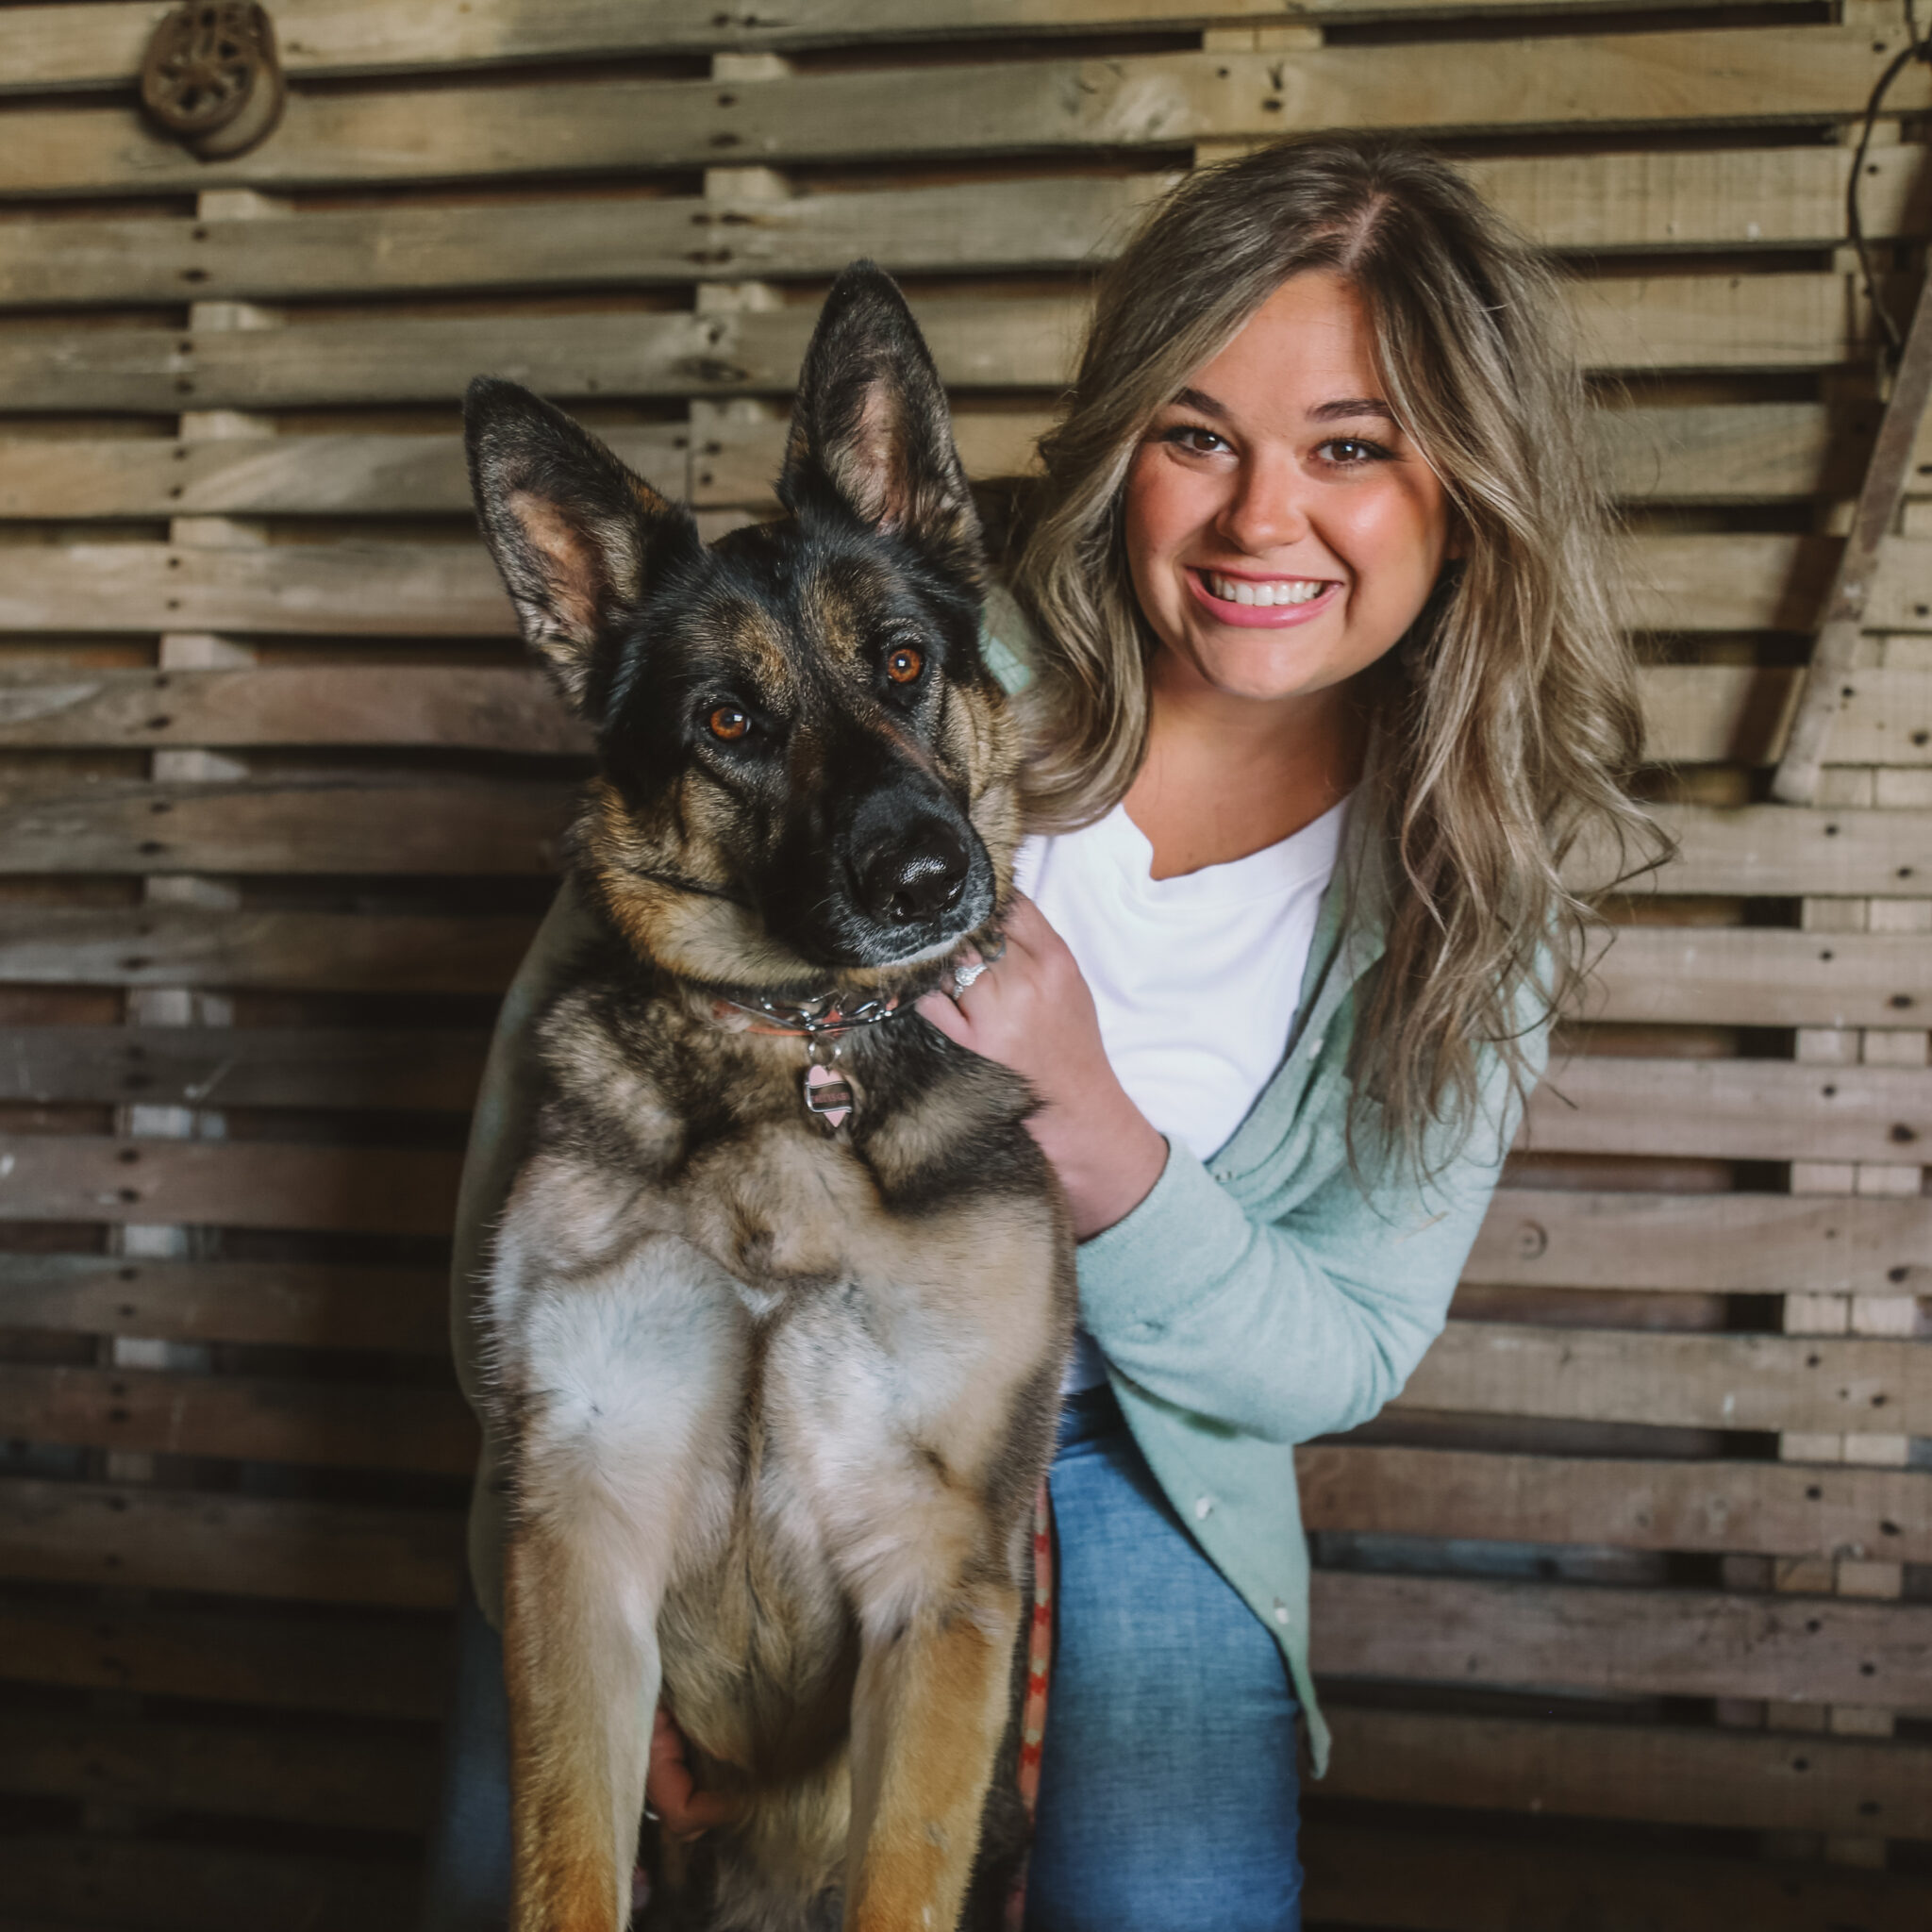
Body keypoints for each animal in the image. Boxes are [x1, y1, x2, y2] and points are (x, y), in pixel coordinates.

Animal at [461, 260, 1081, 1932]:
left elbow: (901, 1878)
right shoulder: (578, 1541)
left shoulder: (941, 1575)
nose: (929, 878)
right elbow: (562, 1867)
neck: (792, 1055)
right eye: (730, 722)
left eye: (904, 663)